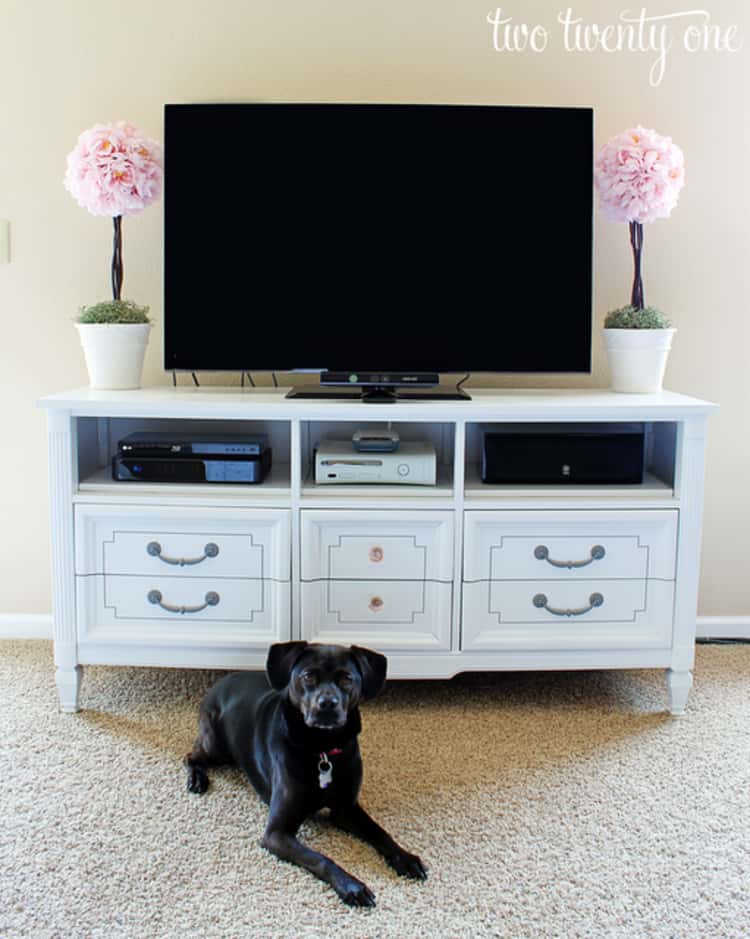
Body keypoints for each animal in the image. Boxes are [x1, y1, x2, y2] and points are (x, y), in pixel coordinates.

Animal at [184, 640, 428, 904]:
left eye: (346, 679)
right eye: (309, 676)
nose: (327, 704)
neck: (321, 747)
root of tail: (220, 683)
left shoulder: (346, 808)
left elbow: (379, 832)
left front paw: (406, 858)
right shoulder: (276, 833)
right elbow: (320, 858)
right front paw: (352, 886)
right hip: (217, 746)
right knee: (192, 755)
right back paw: (197, 779)